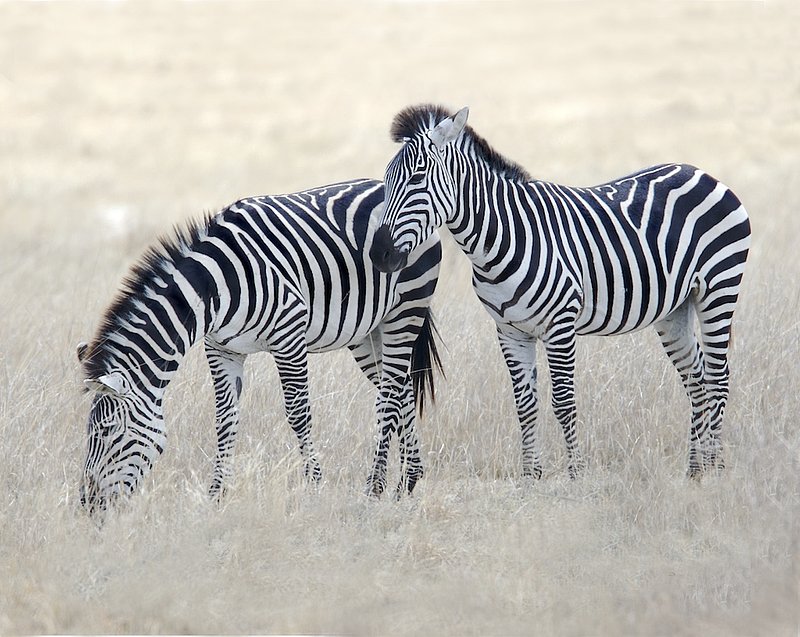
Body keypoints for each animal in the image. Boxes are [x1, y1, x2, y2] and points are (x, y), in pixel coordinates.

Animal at [78, 178, 443, 515]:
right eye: (90, 433)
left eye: (107, 433)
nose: (87, 505)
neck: (214, 289)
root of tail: (381, 182)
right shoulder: (221, 349)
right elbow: (225, 419)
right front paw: (216, 496)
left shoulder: (289, 335)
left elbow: (298, 414)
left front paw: (314, 486)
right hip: (368, 331)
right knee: (399, 388)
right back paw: (408, 480)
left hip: (406, 307)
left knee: (391, 394)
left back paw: (381, 487)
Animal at [370, 104, 751, 479]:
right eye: (386, 180)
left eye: (417, 178)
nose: (379, 254)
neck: (503, 236)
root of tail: (702, 173)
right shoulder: (510, 331)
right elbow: (525, 404)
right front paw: (530, 478)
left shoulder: (560, 325)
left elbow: (564, 401)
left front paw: (575, 476)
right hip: (675, 309)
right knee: (697, 379)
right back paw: (696, 471)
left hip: (718, 288)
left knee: (718, 378)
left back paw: (716, 468)